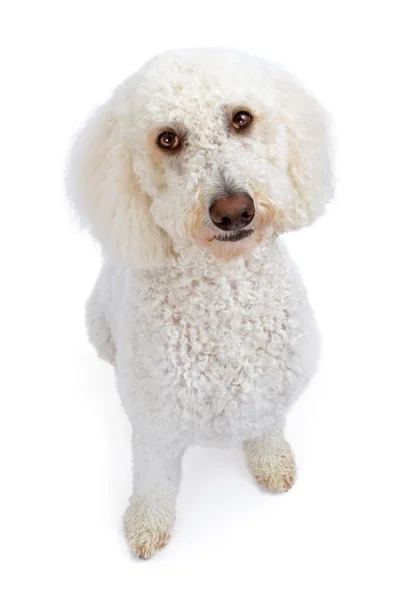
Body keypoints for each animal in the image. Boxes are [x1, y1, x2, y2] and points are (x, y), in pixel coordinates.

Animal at [66, 47, 334, 556]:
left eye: (241, 118)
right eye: (167, 139)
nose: (233, 211)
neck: (224, 294)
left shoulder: (274, 389)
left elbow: (268, 427)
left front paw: (272, 462)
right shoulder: (154, 428)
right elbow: (153, 482)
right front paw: (147, 525)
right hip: (97, 325)